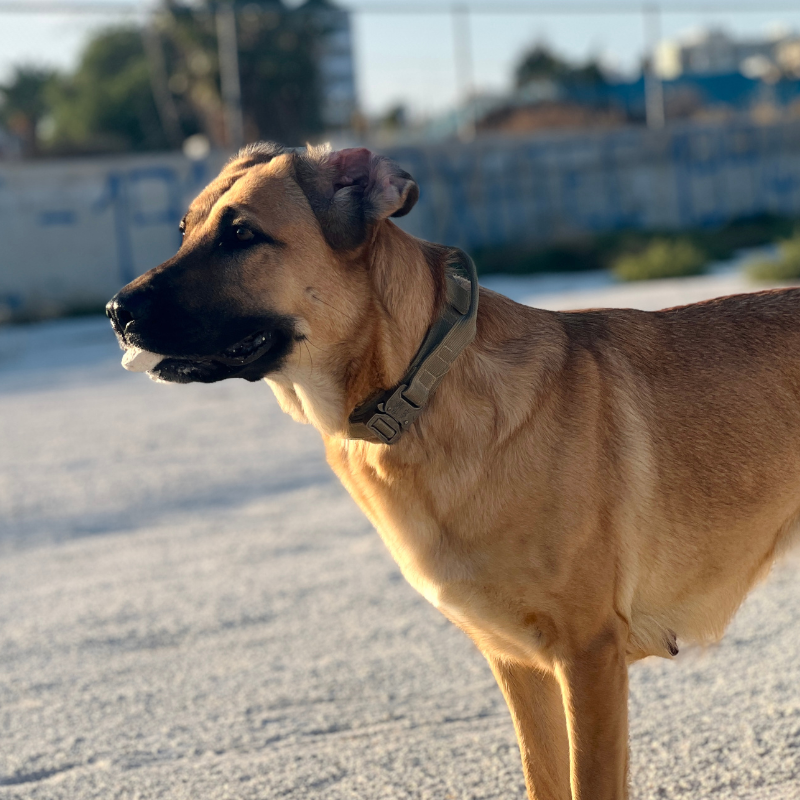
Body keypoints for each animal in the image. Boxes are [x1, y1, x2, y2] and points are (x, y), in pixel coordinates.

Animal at [107, 142, 800, 800]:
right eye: (184, 230)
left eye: (242, 234)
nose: (116, 312)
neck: (422, 381)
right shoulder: (520, 663)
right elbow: (544, 781)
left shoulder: (589, 656)